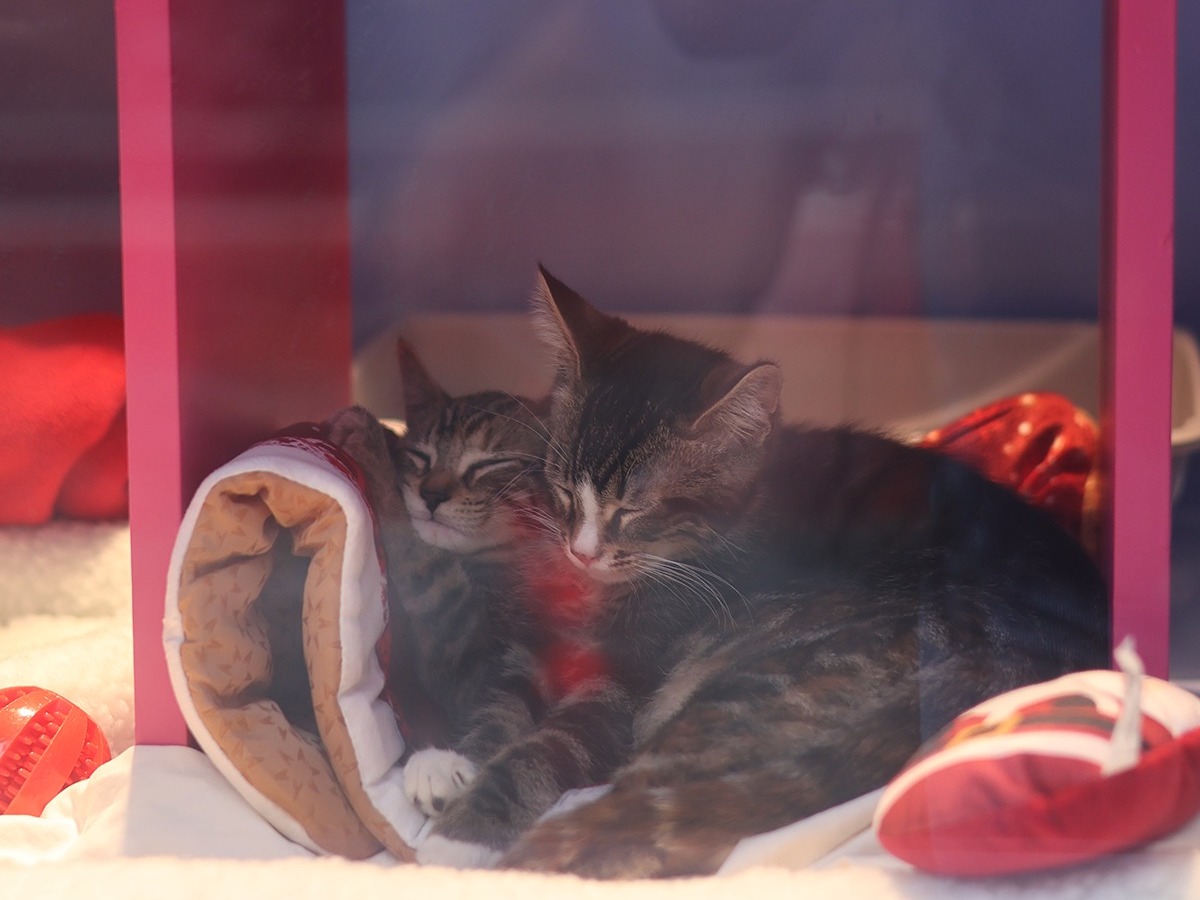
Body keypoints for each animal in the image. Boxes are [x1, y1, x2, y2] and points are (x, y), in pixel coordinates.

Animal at [417, 266, 1108, 883]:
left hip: (757, 680)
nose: (581, 551)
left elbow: (552, 745)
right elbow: (506, 696)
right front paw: (446, 762)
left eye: (634, 510)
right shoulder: (540, 640)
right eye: (561, 487)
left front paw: (459, 838)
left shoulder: (625, 683)